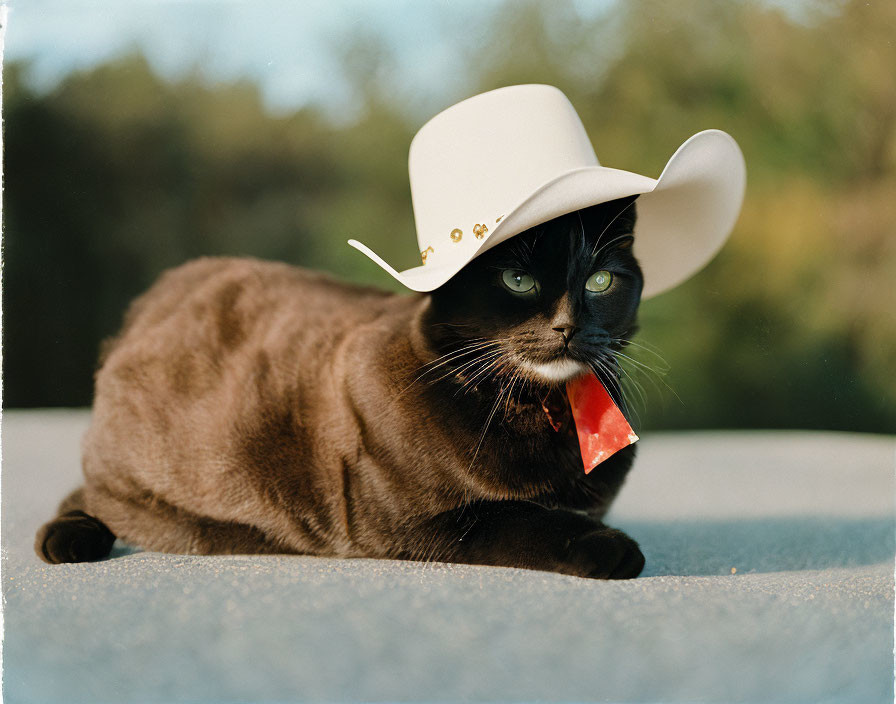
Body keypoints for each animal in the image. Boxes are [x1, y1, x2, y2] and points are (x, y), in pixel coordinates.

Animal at [35, 197, 648, 576]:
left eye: (600, 281)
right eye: (518, 281)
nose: (568, 326)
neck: (544, 406)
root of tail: (156, 294)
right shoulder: (426, 521)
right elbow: (523, 519)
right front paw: (609, 547)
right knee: (87, 493)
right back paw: (66, 539)